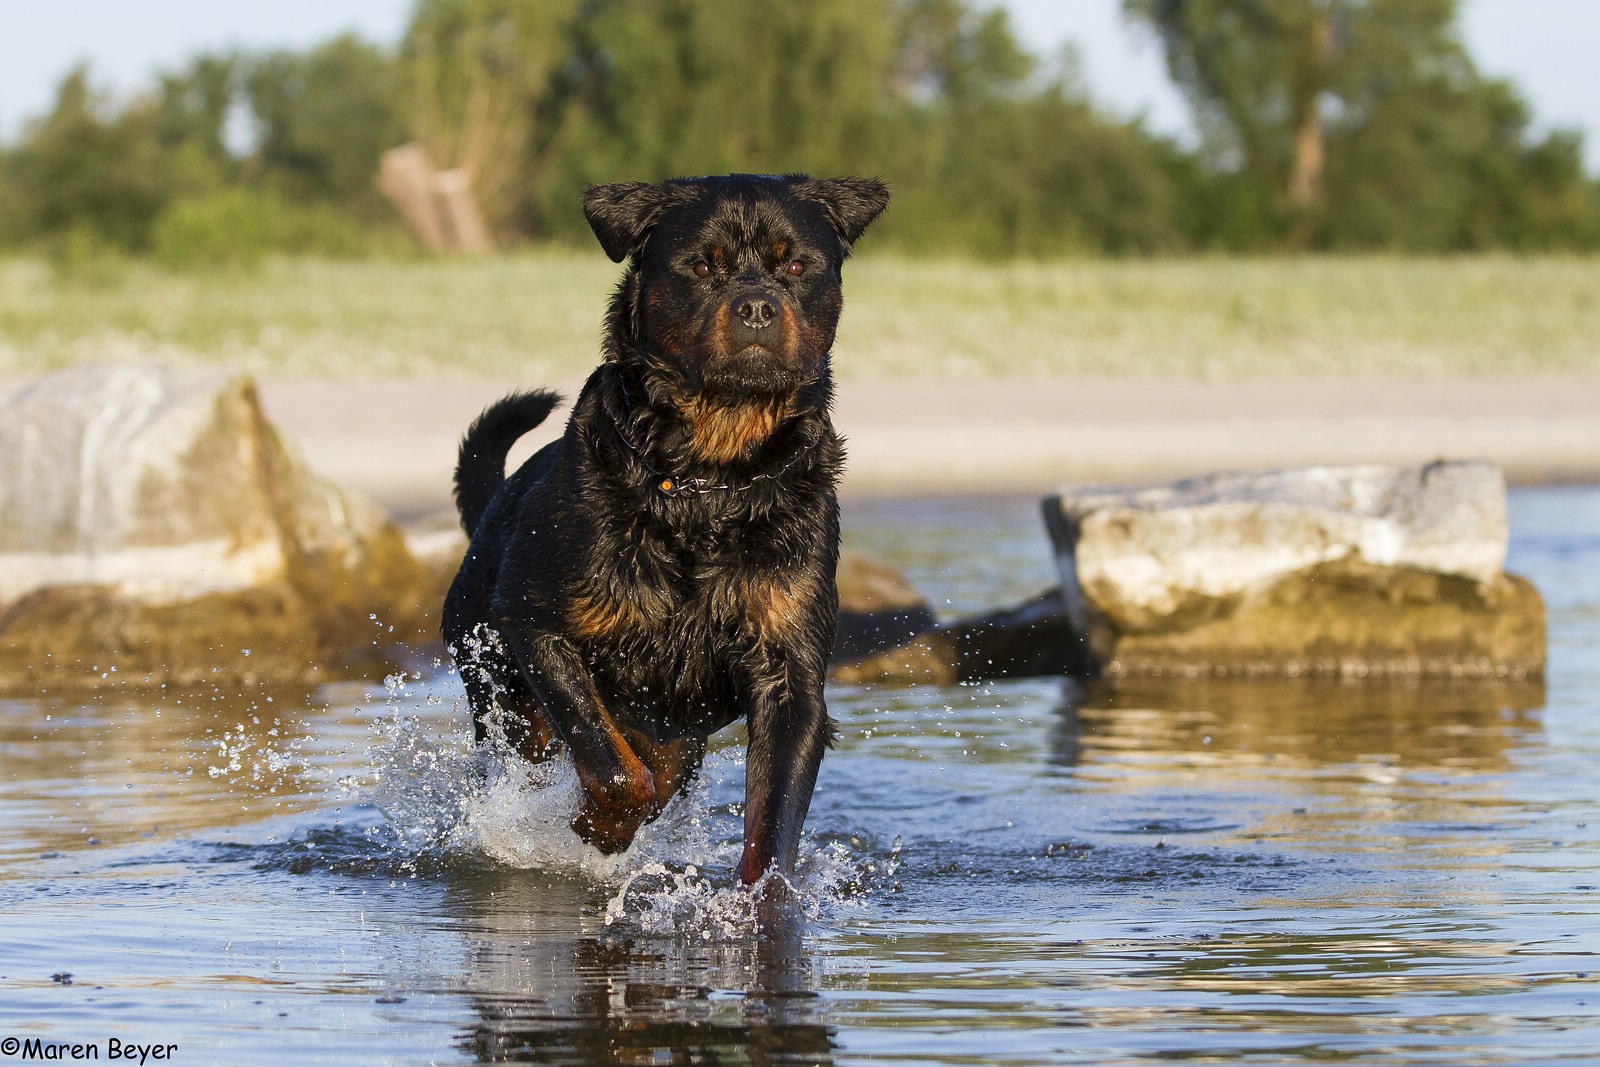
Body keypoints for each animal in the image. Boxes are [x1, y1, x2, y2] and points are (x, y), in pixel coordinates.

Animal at [441, 171, 889, 883]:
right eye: (703, 267)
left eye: (794, 266)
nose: (756, 306)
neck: (711, 475)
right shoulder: (534, 623)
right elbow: (611, 767)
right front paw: (598, 828)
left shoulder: (789, 679)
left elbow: (771, 825)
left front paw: (756, 901)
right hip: (502, 692)